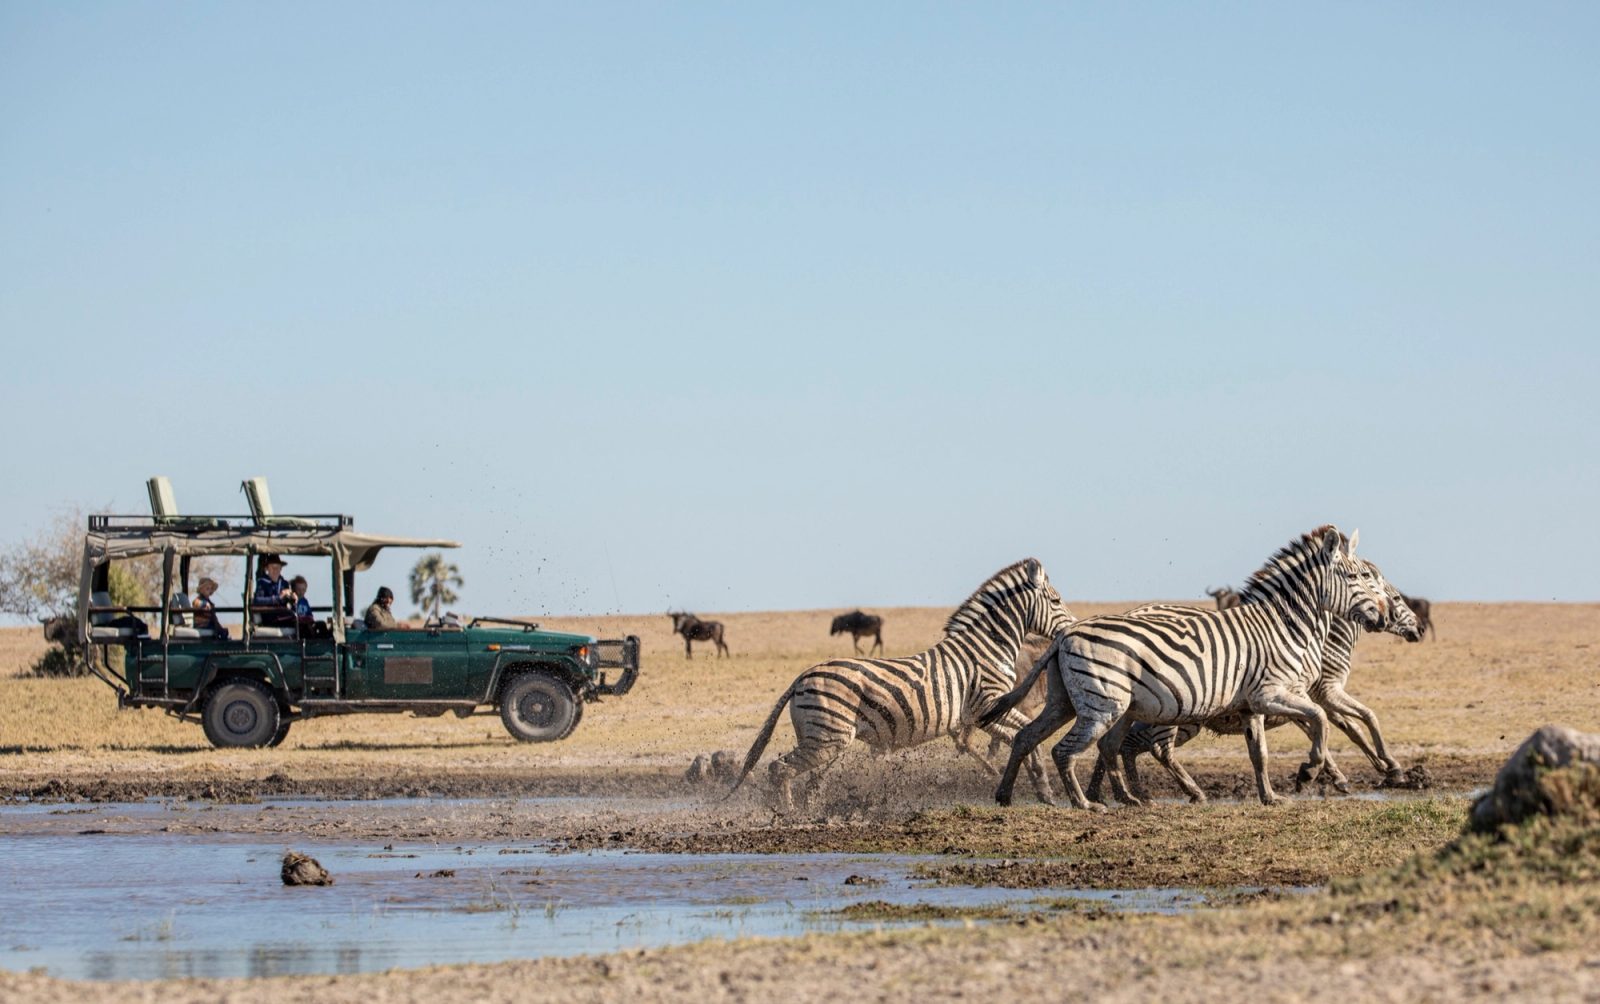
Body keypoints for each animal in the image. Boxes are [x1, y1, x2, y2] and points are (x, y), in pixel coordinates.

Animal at [727, 558, 1075, 812]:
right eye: (1056, 600)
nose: (1072, 628)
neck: (984, 648)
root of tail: (802, 676)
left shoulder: (984, 716)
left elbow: (1023, 737)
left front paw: (1044, 791)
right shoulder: (987, 705)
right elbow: (1024, 733)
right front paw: (1042, 789)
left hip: (825, 738)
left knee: (804, 779)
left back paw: (802, 812)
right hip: (826, 740)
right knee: (779, 768)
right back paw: (786, 815)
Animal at [980, 526, 1387, 810]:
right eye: (1358, 578)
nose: (1383, 616)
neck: (1284, 625)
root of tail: (1065, 634)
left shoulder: (1250, 706)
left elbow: (1260, 754)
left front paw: (1271, 797)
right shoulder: (1272, 694)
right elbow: (1320, 718)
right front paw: (1308, 772)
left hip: (1067, 702)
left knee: (1031, 737)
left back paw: (1009, 796)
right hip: (1104, 706)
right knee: (1066, 750)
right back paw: (1085, 803)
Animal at [1084, 564, 1422, 805]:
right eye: (1397, 599)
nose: (1418, 629)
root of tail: (1133, 612)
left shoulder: (1307, 698)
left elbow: (1340, 728)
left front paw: (1350, 771)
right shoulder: (1326, 692)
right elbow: (1360, 721)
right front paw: (1387, 767)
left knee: (1119, 742)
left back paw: (1104, 793)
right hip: (1175, 716)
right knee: (1149, 747)